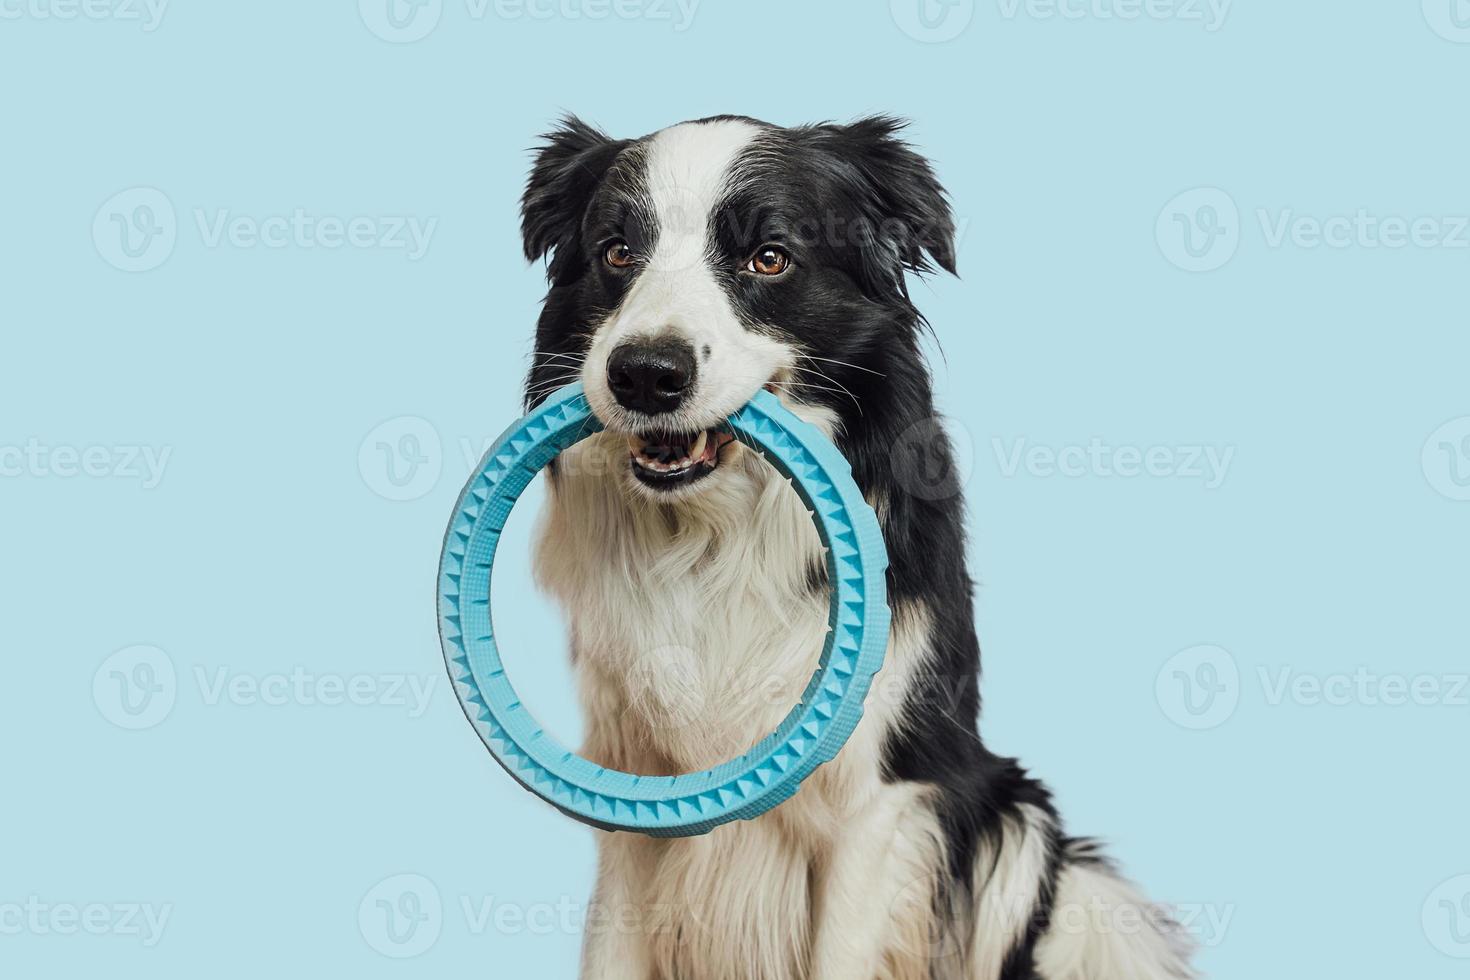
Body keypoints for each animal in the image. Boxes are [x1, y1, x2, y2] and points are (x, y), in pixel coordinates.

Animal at [517, 116, 1193, 980]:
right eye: (616, 251)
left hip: (1017, 822)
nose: (643, 373)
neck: (714, 541)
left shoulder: (878, 803)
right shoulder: (632, 791)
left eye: (769, 257)